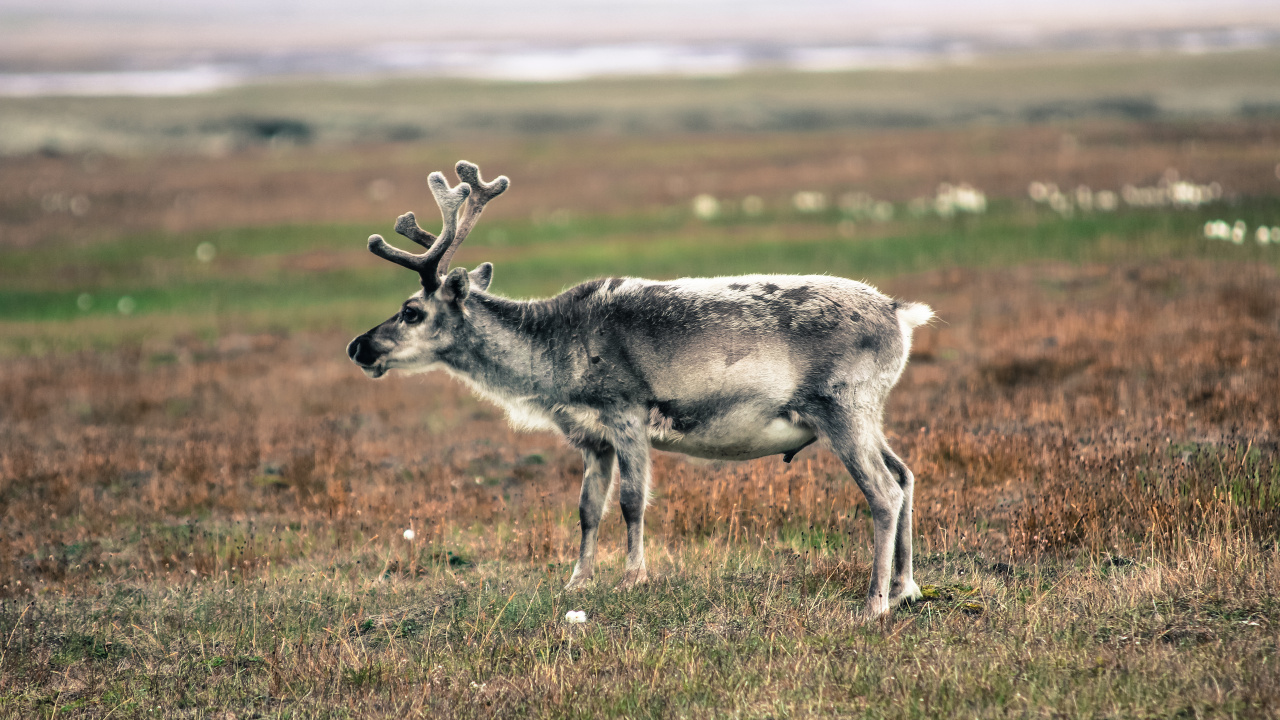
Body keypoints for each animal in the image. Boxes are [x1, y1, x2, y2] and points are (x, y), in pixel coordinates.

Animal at [346, 161, 934, 617]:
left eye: (411, 311)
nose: (358, 347)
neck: (553, 355)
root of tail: (901, 314)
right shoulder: (592, 438)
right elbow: (588, 509)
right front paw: (576, 582)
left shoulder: (626, 413)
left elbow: (632, 501)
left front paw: (633, 577)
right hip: (865, 413)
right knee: (905, 474)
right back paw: (907, 587)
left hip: (842, 407)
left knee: (883, 491)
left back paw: (874, 602)